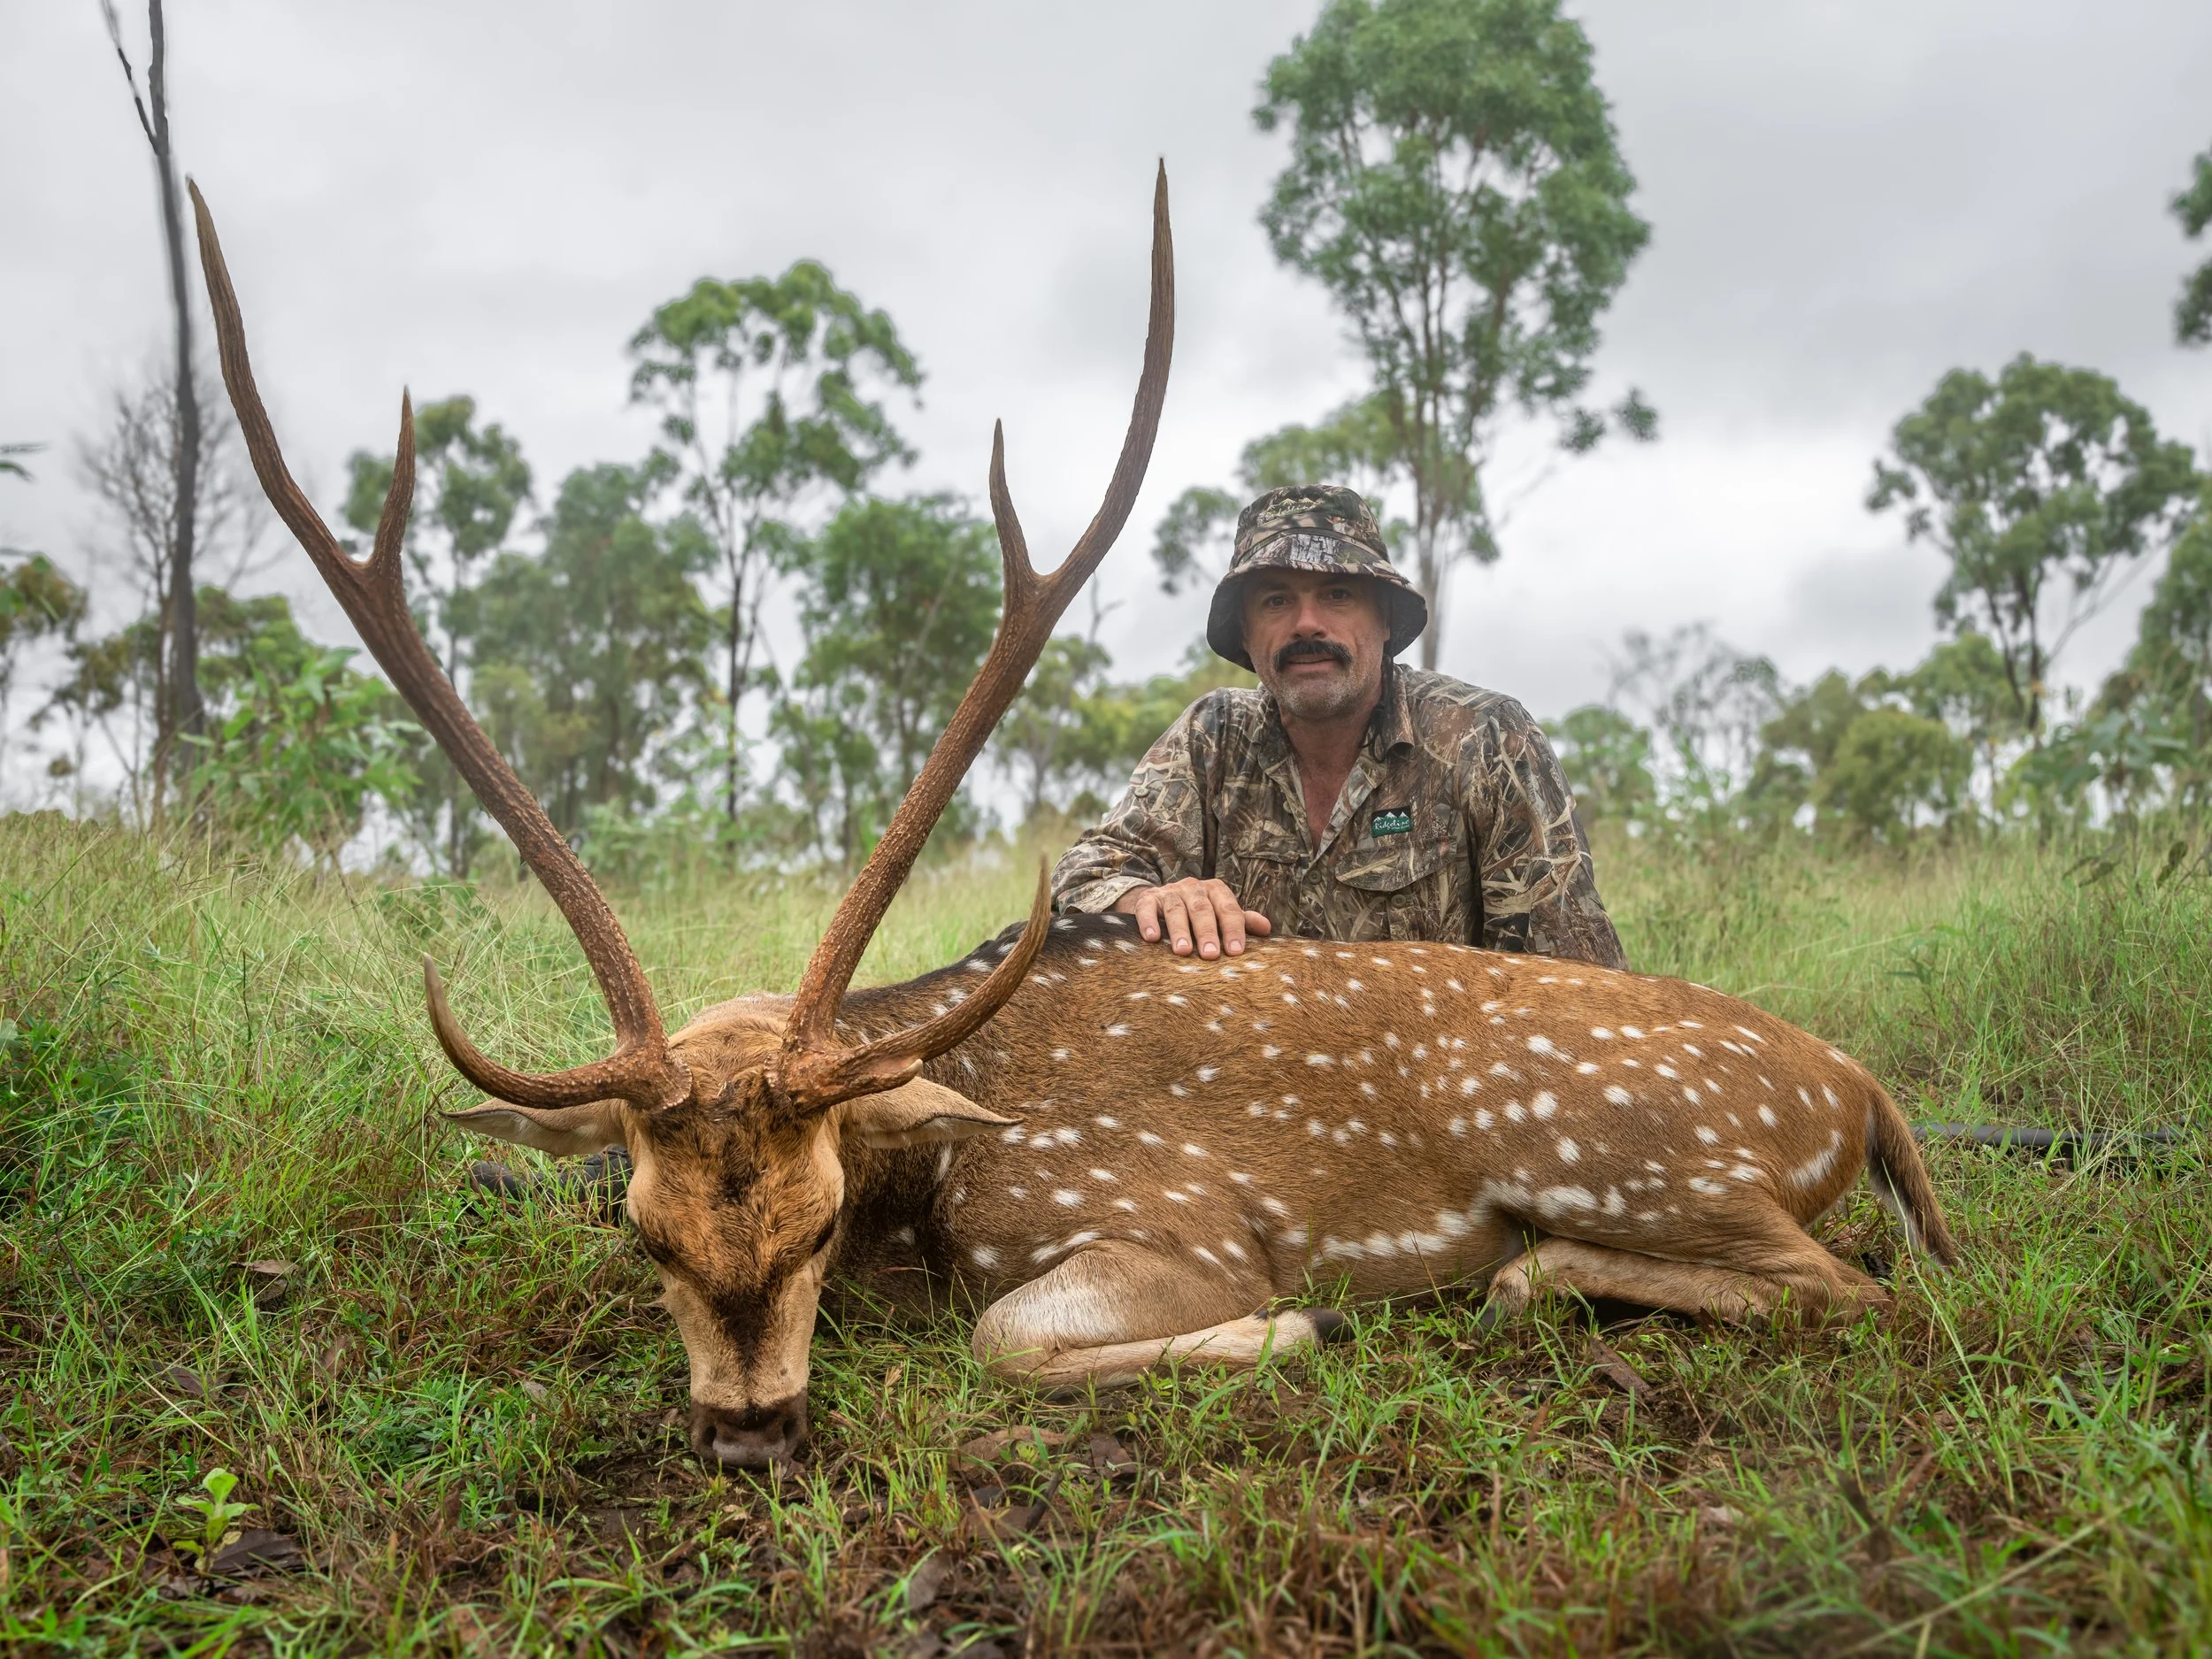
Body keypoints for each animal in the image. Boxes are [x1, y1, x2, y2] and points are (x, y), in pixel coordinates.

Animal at [191, 167, 1959, 1472]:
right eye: (642, 1235)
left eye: (820, 1222)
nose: (752, 1431)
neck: (935, 1156)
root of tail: (1861, 1085)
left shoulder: (1162, 1217)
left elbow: (1012, 1334)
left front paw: (1299, 1328)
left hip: (1629, 1153)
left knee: (1864, 1291)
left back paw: (1527, 1277)